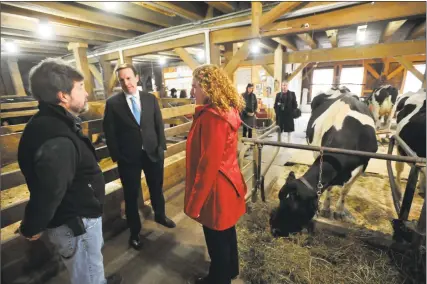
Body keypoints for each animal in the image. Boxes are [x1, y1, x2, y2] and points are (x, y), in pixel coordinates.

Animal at [270, 87, 378, 237]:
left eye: (293, 207)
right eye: (279, 198)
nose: (274, 230)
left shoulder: (363, 165)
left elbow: (345, 189)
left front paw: (339, 211)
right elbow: (329, 187)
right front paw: (326, 208)